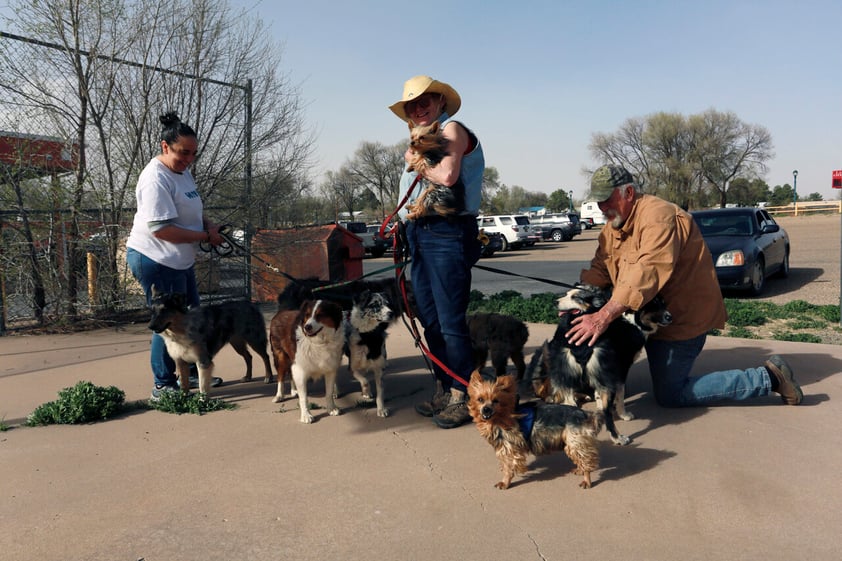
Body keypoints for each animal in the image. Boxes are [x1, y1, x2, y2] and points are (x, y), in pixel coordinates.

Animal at [342, 288, 398, 416]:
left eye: (388, 304)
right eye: (375, 305)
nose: (391, 313)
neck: (368, 336)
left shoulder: (379, 369)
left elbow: (380, 393)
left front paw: (381, 409)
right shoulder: (352, 367)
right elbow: (365, 380)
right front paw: (366, 391)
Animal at [466, 372, 596, 490]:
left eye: (496, 401)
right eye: (480, 399)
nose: (486, 409)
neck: (499, 419)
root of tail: (582, 413)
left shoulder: (509, 447)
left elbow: (509, 467)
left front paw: (505, 482)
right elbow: (505, 464)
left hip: (575, 441)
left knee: (585, 460)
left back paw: (586, 480)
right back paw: (579, 469)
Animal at [528, 284, 672, 446]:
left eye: (662, 303)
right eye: (654, 304)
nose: (670, 317)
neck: (631, 319)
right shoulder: (620, 369)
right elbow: (620, 395)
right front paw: (624, 414)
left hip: (561, 364)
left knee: (567, 399)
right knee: (607, 412)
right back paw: (618, 438)